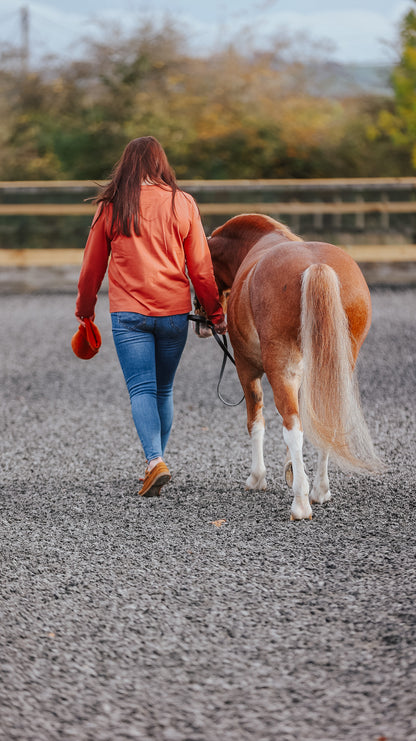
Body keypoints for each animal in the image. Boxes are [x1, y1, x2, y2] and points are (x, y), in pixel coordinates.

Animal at [200, 211, 382, 516]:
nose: (203, 325)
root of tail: (316, 266)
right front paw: (291, 470)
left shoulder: (247, 369)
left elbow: (256, 422)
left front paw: (258, 478)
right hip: (332, 369)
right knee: (325, 422)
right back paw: (320, 491)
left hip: (279, 367)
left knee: (293, 428)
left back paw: (301, 503)